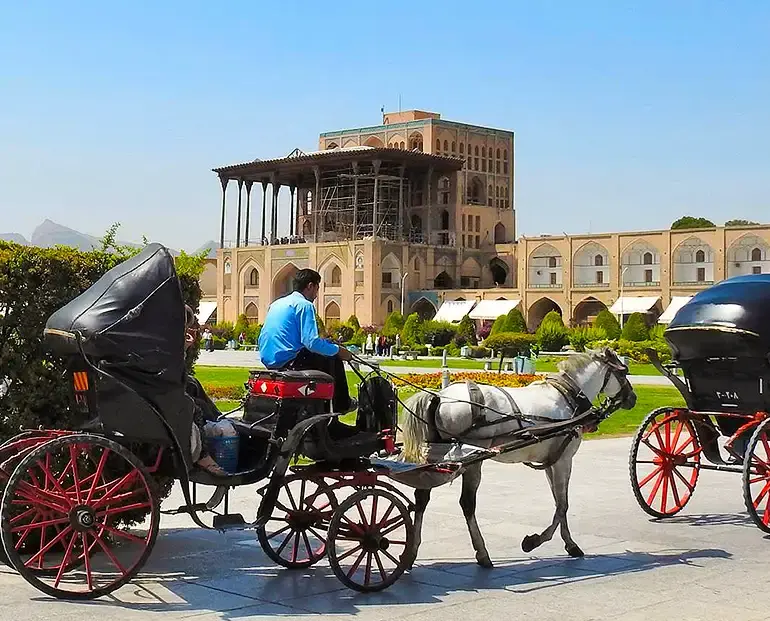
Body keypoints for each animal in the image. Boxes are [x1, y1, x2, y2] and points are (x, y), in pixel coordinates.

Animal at [400, 346, 632, 568]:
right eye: (623, 372)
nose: (633, 398)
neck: (567, 397)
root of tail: (439, 396)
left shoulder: (551, 461)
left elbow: (558, 501)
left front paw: (569, 543)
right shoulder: (564, 460)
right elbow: (563, 504)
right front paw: (536, 541)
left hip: (435, 457)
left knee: (422, 499)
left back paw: (412, 552)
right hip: (472, 458)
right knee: (467, 503)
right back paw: (482, 553)